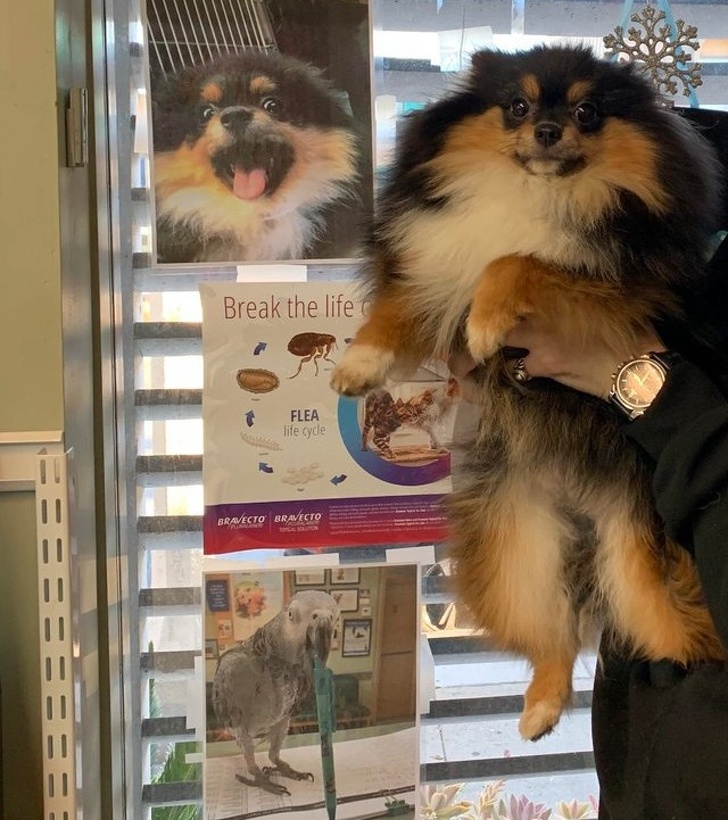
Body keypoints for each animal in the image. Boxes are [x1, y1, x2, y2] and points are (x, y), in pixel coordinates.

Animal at [330, 45, 727, 741]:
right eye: (516, 105)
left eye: (587, 112)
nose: (546, 130)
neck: (536, 191)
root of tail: (586, 511)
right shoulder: (437, 265)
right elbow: (400, 306)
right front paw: (361, 363)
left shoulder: (613, 289)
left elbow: (520, 261)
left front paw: (489, 319)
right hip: (514, 547)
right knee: (554, 633)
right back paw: (541, 705)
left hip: (643, 568)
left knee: (685, 634)